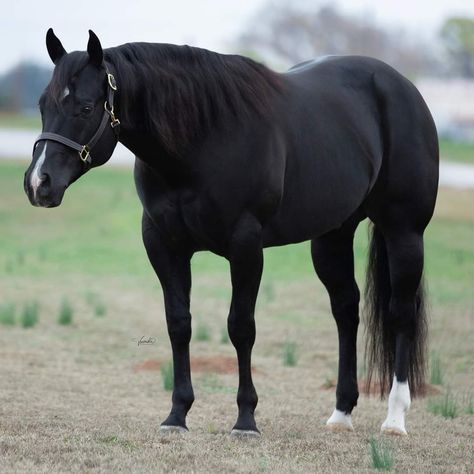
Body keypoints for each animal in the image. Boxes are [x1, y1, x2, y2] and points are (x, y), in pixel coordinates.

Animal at [23, 29, 436, 436]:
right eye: (43, 105)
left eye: (86, 107)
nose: (39, 183)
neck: (202, 140)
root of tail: (402, 87)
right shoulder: (164, 245)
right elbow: (179, 324)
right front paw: (177, 415)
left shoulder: (246, 247)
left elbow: (241, 327)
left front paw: (246, 419)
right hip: (332, 236)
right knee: (346, 309)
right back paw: (341, 413)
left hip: (404, 232)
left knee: (400, 313)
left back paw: (394, 419)